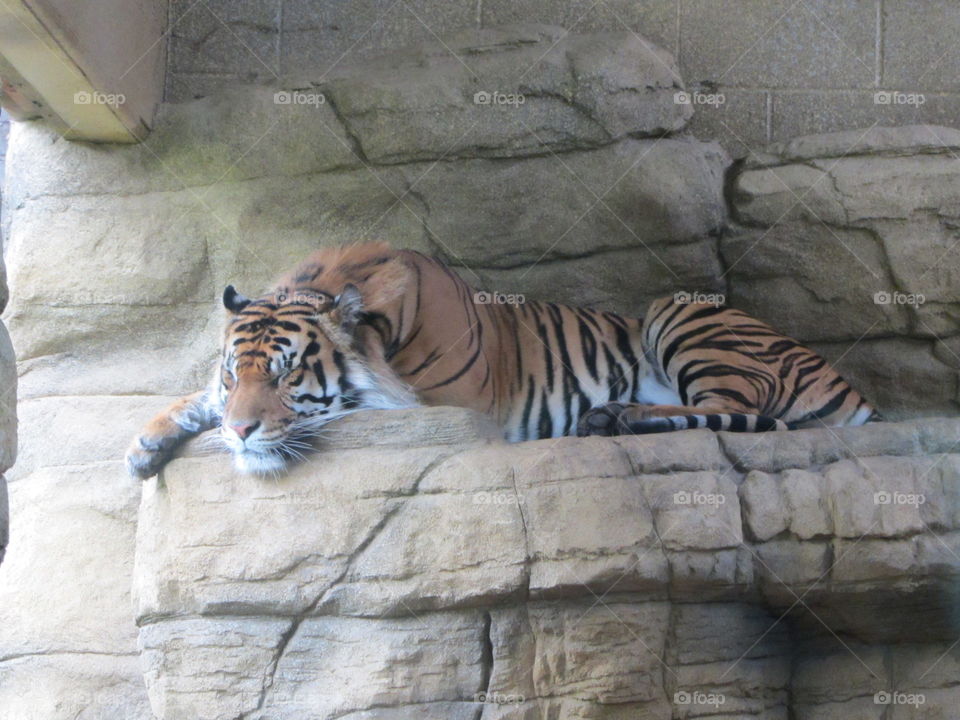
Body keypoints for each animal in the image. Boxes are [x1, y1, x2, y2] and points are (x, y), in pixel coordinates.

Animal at [125, 242, 879, 478]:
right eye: (234, 374)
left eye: (287, 374)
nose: (240, 433)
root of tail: (855, 391)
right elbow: (190, 401)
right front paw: (144, 444)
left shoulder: (451, 405)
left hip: (682, 311)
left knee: (731, 411)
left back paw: (619, 417)